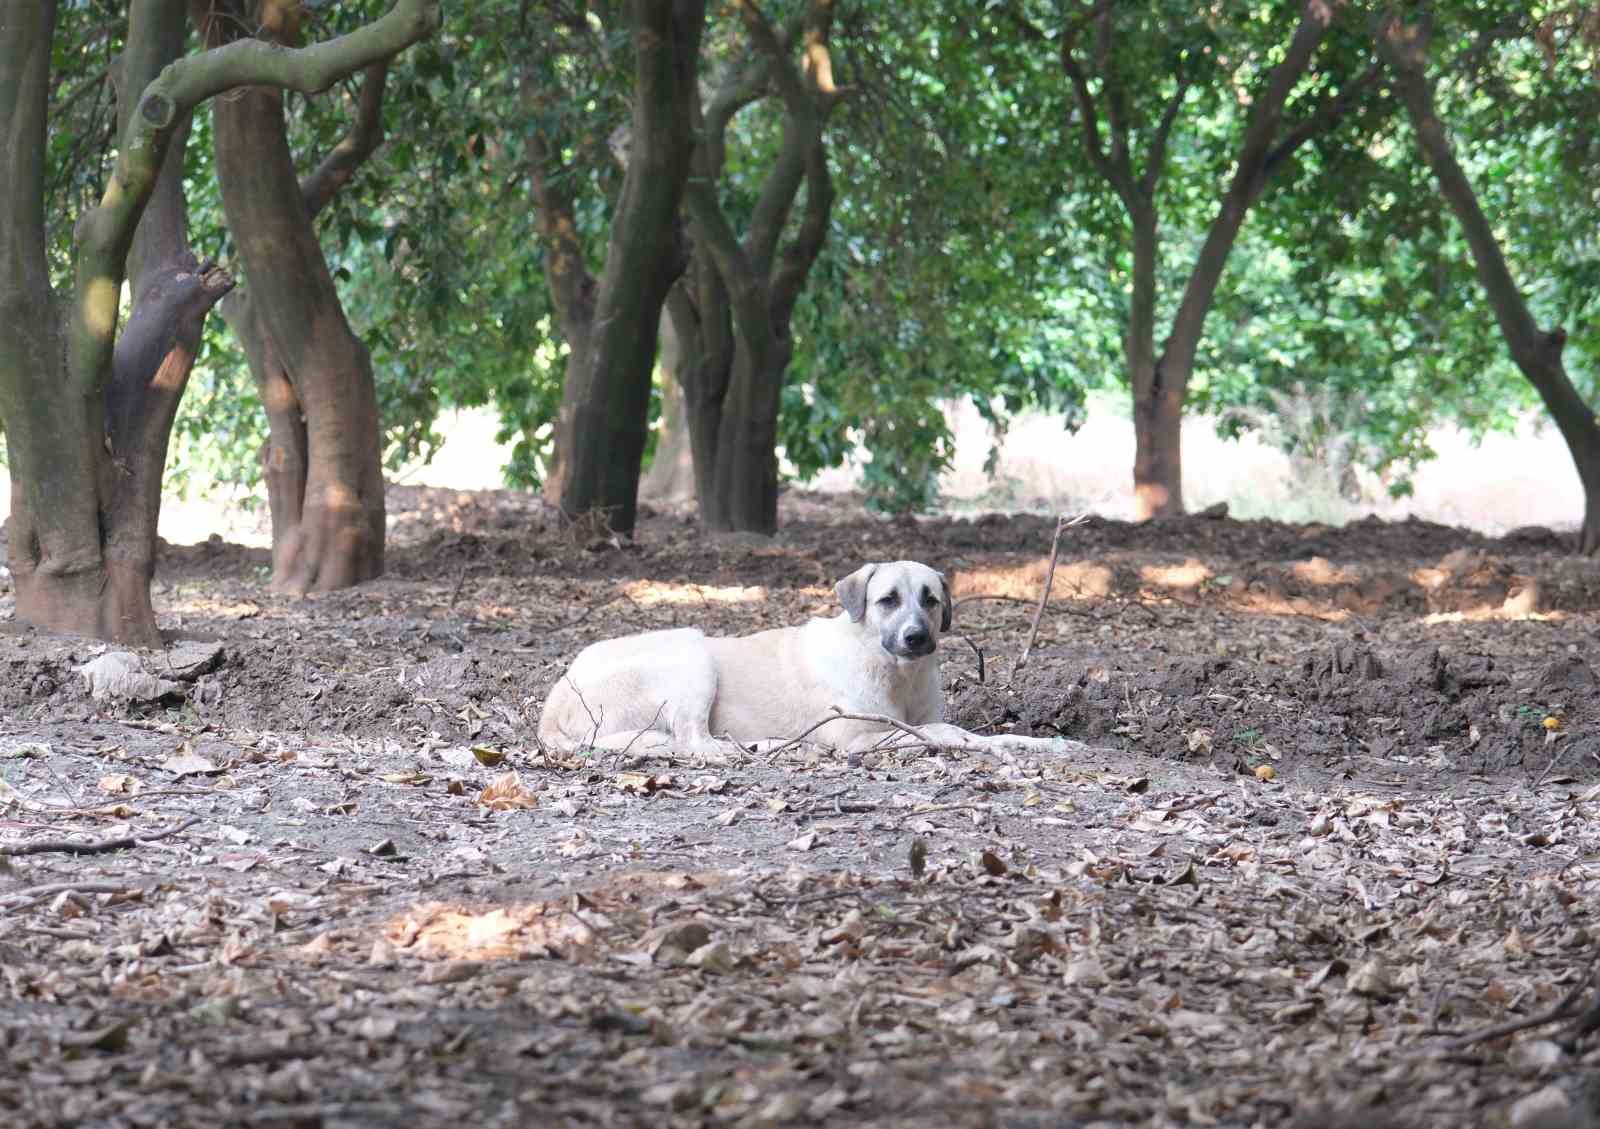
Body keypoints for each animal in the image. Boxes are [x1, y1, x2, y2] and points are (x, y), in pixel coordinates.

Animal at [534, 556, 1075, 754]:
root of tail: (553, 704)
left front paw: (1042, 745)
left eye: (930, 599)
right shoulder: (858, 735)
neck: (896, 673)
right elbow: (948, 733)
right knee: (694, 742)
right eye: (888, 601)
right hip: (691, 652)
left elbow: (977, 732)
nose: (917, 639)